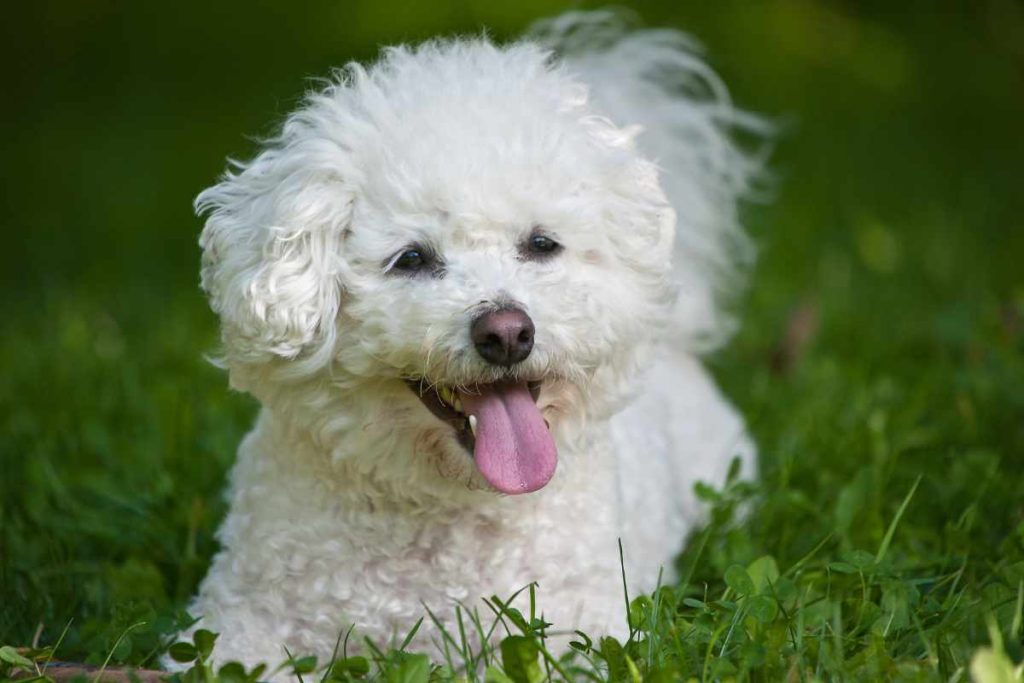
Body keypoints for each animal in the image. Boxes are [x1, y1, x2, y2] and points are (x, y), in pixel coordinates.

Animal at [180, 9, 765, 671]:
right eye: (410, 258)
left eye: (541, 243)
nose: (507, 333)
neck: (444, 511)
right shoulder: (240, 622)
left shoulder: (576, 636)